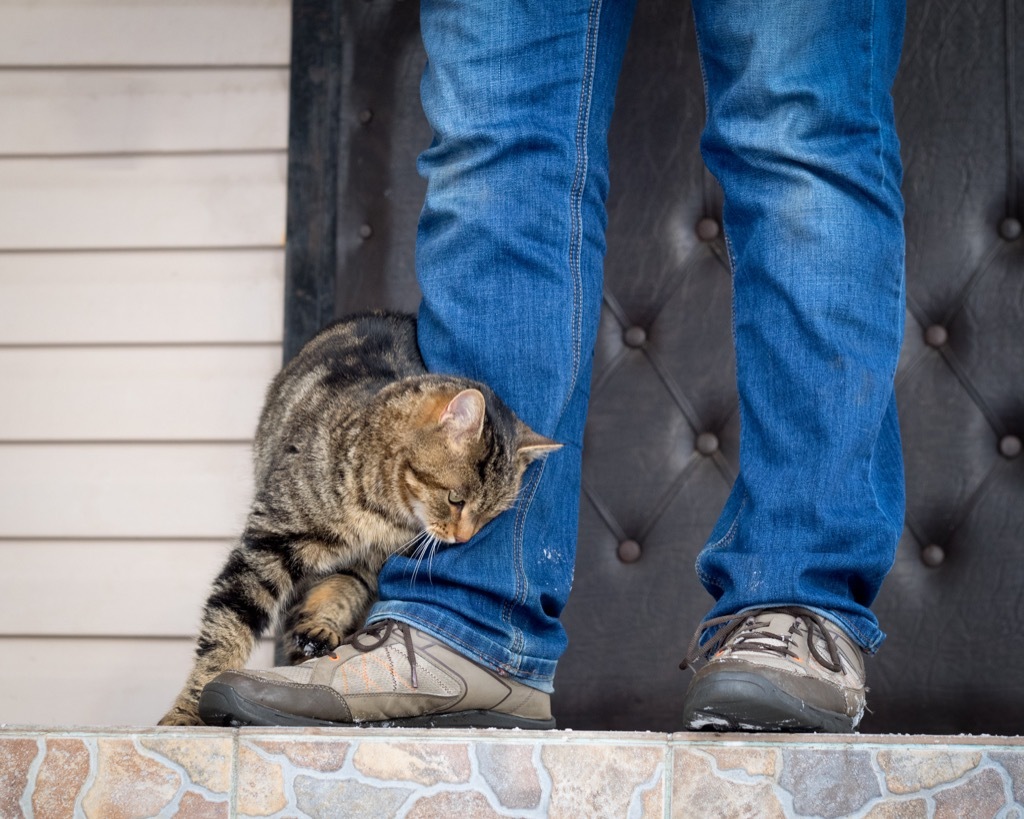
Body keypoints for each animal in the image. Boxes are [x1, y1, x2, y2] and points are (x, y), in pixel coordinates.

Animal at [159, 311, 561, 724]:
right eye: (456, 499)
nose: (464, 539)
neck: (383, 513)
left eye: (490, 516)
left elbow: (343, 590)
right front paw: (188, 709)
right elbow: (227, 627)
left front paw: (320, 626)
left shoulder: (370, 565)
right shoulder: (269, 541)